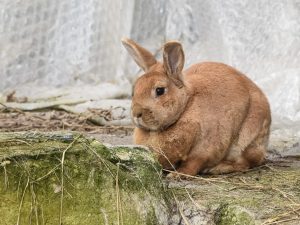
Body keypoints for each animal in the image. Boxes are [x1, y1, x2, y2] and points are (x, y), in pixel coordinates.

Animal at [122, 38, 272, 176]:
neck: (185, 106)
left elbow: (193, 162)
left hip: (247, 139)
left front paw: (177, 175)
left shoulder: (206, 147)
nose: (136, 113)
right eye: (134, 90)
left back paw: (219, 168)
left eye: (159, 90)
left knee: (247, 162)